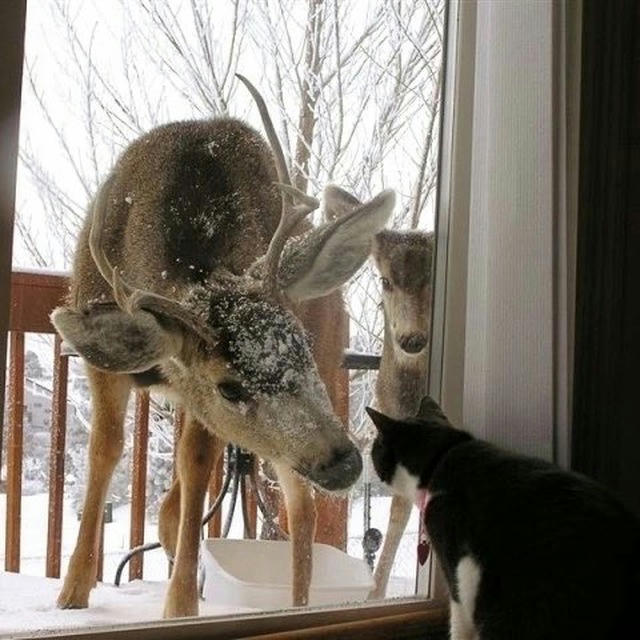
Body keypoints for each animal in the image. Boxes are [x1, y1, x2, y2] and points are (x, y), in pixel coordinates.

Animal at [51, 76, 396, 620]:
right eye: (229, 387)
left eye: (298, 345)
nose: (343, 461)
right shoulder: (109, 365)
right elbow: (106, 450)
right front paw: (72, 591)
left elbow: (194, 464)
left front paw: (179, 605)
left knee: (299, 504)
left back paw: (296, 605)